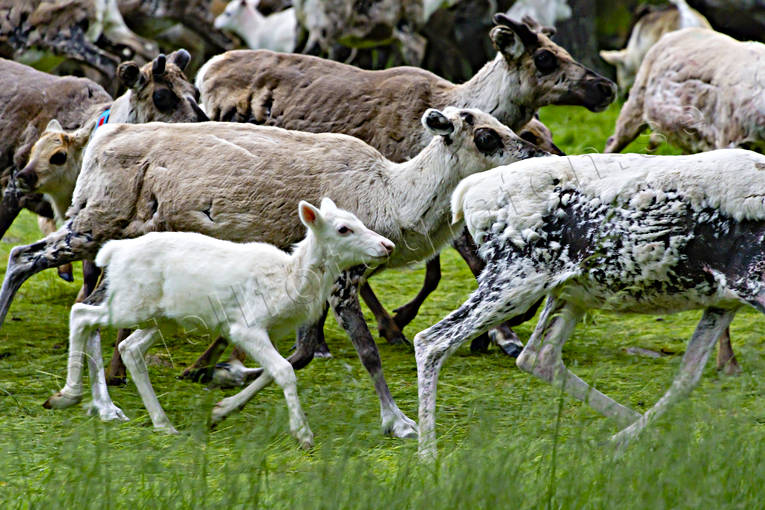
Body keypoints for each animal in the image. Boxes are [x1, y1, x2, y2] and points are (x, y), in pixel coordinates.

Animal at [46, 199, 394, 450]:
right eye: (344, 229)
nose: (387, 246)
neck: (290, 281)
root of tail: (112, 251)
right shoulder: (246, 325)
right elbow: (284, 370)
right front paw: (303, 435)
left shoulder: (268, 331)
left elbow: (273, 371)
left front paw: (220, 410)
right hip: (130, 303)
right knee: (81, 313)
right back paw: (68, 396)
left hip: (163, 318)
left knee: (129, 347)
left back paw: (162, 423)